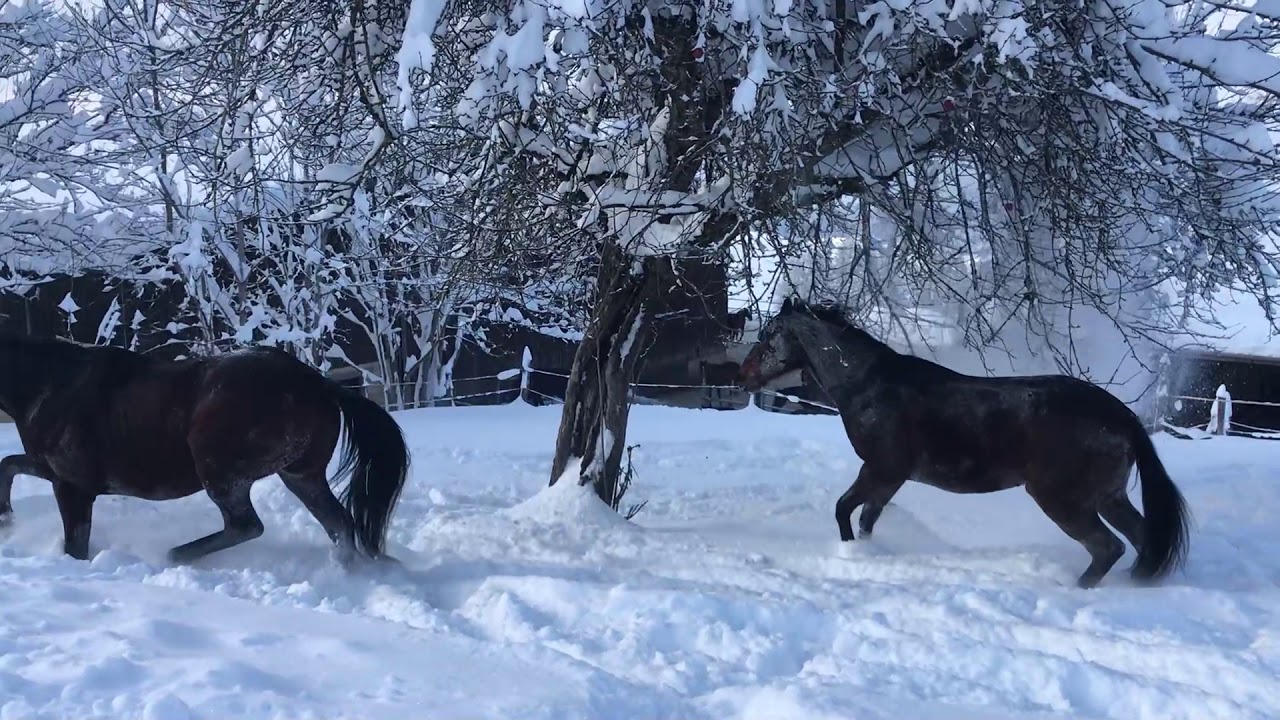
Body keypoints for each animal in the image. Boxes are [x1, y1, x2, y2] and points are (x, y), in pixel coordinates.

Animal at [0, 333, 410, 566]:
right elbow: (8, 464)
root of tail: (320, 384)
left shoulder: (72, 486)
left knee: (246, 525)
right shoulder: (52, 471)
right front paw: (6, 520)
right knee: (339, 524)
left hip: (222, 471)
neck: (53, 385)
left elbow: (75, 546)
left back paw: (173, 556)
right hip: (301, 476)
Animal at [734, 298, 1190, 589]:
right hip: (1109, 497)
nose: (743, 375)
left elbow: (844, 510)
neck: (869, 386)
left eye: (769, 334)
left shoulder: (882, 468)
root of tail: (1123, 417)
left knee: (1108, 548)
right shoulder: (890, 478)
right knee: (1141, 539)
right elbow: (865, 519)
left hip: (1063, 499)